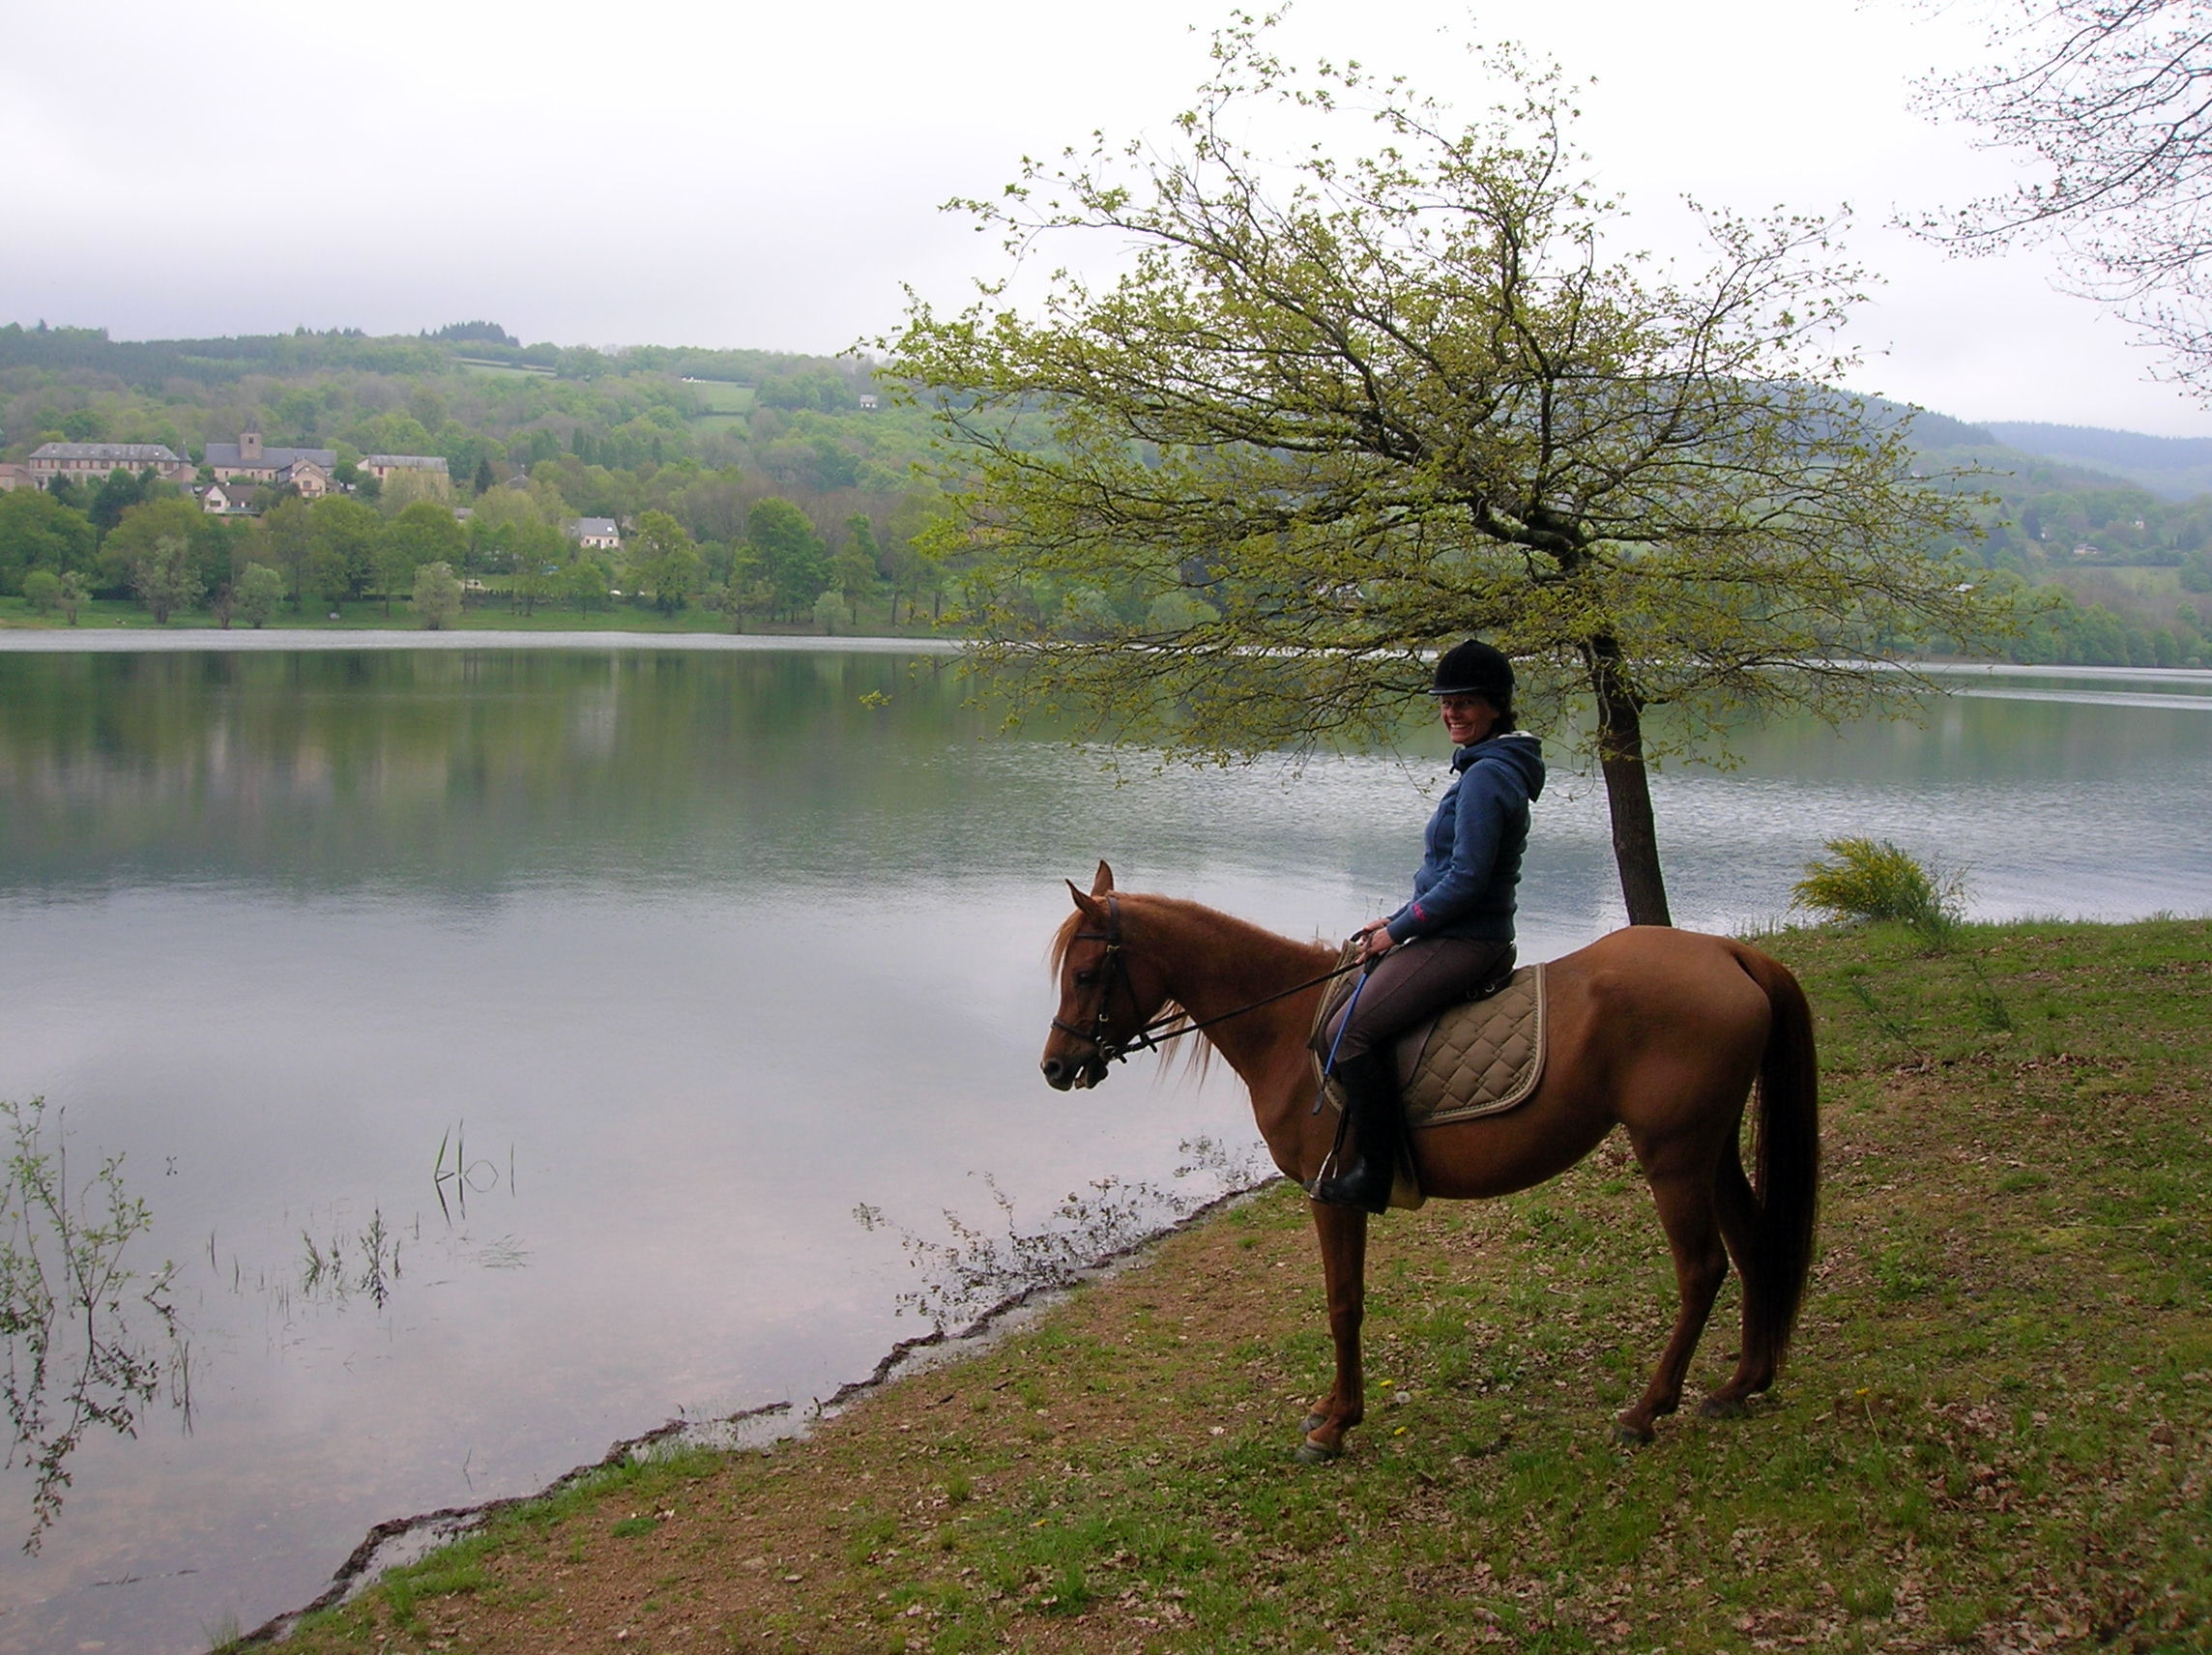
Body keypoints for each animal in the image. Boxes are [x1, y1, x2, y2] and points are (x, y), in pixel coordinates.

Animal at [1034, 858, 1814, 1451]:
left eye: (1085, 974)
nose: (1054, 1068)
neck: (1287, 1024)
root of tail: (1730, 953)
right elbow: (1347, 1301)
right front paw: (1334, 1411)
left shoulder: (1330, 1194)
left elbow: (1342, 1303)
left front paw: (1336, 1425)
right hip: (1709, 1147)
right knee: (1752, 1247)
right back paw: (1740, 1385)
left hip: (1673, 1154)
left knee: (1703, 1269)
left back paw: (1647, 1410)